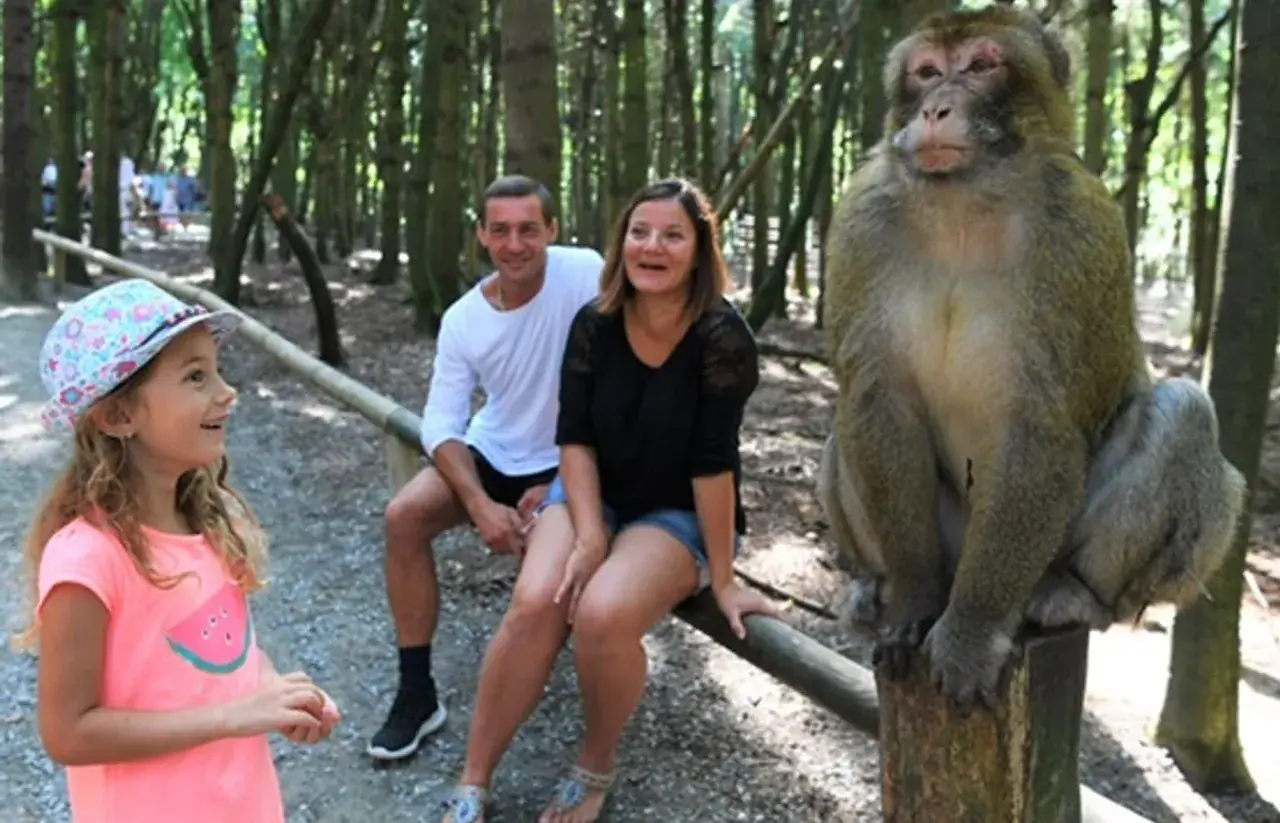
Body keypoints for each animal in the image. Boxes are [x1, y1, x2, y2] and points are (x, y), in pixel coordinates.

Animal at [817, 5, 1246, 712]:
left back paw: (1075, 593)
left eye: (982, 65)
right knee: (841, 428)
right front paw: (912, 604)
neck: (962, 204)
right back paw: (873, 586)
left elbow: (1039, 424)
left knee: (1185, 409)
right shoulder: (859, 223)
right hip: (951, 538)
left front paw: (971, 632)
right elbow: (878, 401)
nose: (936, 107)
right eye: (927, 71)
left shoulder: (1080, 228)